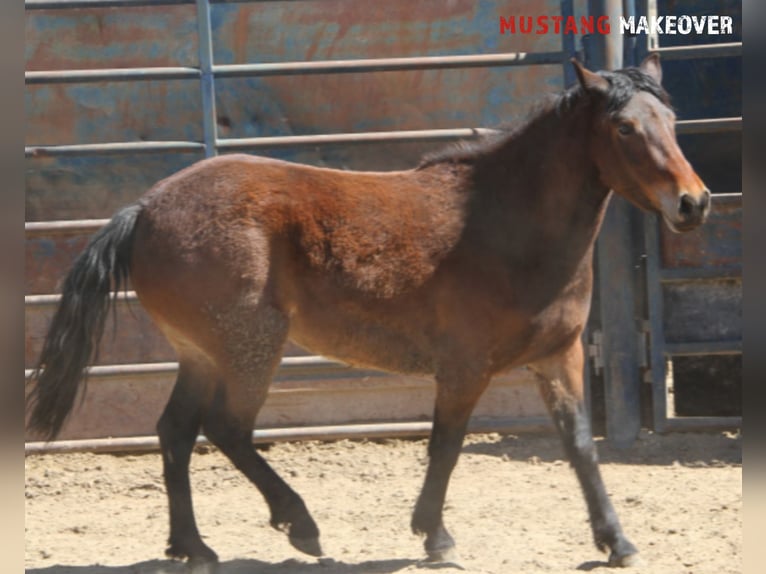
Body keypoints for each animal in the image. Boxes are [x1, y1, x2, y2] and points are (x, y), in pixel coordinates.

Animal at [25, 56, 708, 568]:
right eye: (624, 128)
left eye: (671, 119)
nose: (693, 203)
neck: (504, 224)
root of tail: (143, 210)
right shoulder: (464, 367)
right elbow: (446, 446)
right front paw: (435, 536)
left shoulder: (557, 358)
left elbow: (581, 448)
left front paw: (617, 541)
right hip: (250, 347)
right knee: (227, 429)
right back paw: (300, 524)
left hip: (202, 354)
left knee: (175, 433)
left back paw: (193, 547)